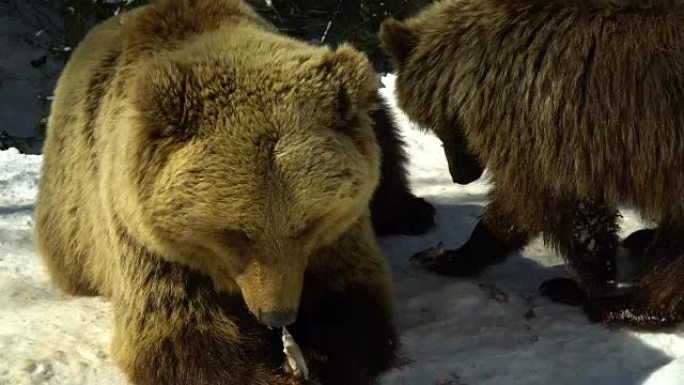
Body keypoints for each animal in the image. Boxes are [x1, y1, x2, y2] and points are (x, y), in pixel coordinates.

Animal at [34, 0, 404, 384]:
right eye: (237, 234)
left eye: (308, 225)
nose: (277, 314)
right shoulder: (146, 241)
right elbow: (182, 332)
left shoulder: (338, 233)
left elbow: (352, 296)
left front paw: (315, 356)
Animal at [382, 0, 684, 328]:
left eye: (441, 125)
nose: (460, 176)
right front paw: (444, 256)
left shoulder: (551, 122)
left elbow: (542, 204)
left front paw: (582, 283)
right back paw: (641, 242)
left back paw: (624, 304)